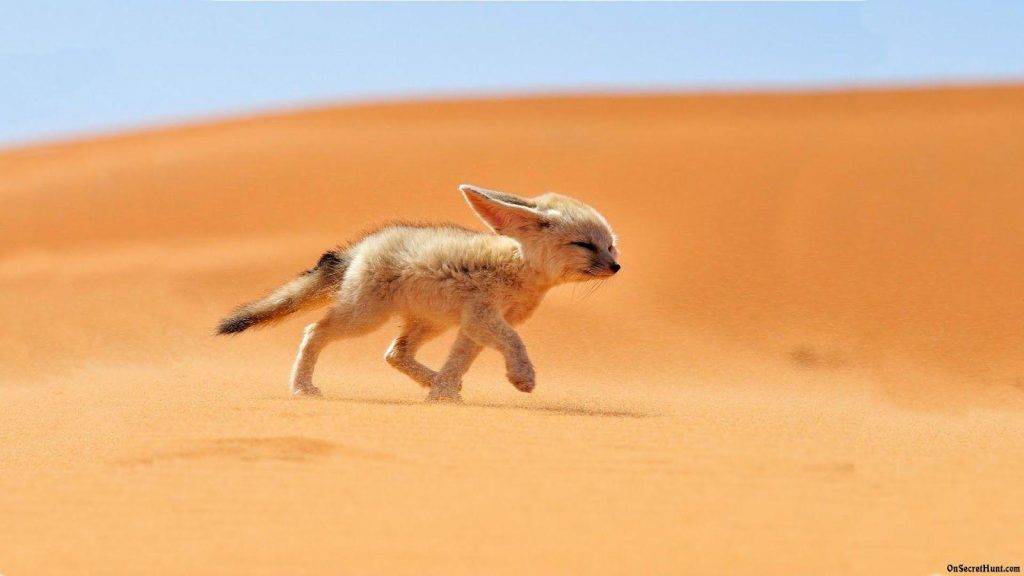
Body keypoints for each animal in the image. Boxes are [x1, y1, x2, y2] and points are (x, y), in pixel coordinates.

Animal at [215, 182, 614, 399]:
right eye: (584, 245)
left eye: (611, 246)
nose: (616, 267)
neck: (518, 269)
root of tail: (361, 247)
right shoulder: (484, 318)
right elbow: (515, 342)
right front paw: (522, 377)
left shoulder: (473, 326)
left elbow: (459, 362)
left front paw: (442, 395)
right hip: (365, 318)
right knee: (315, 331)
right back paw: (301, 388)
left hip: (429, 322)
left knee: (395, 353)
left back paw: (432, 381)